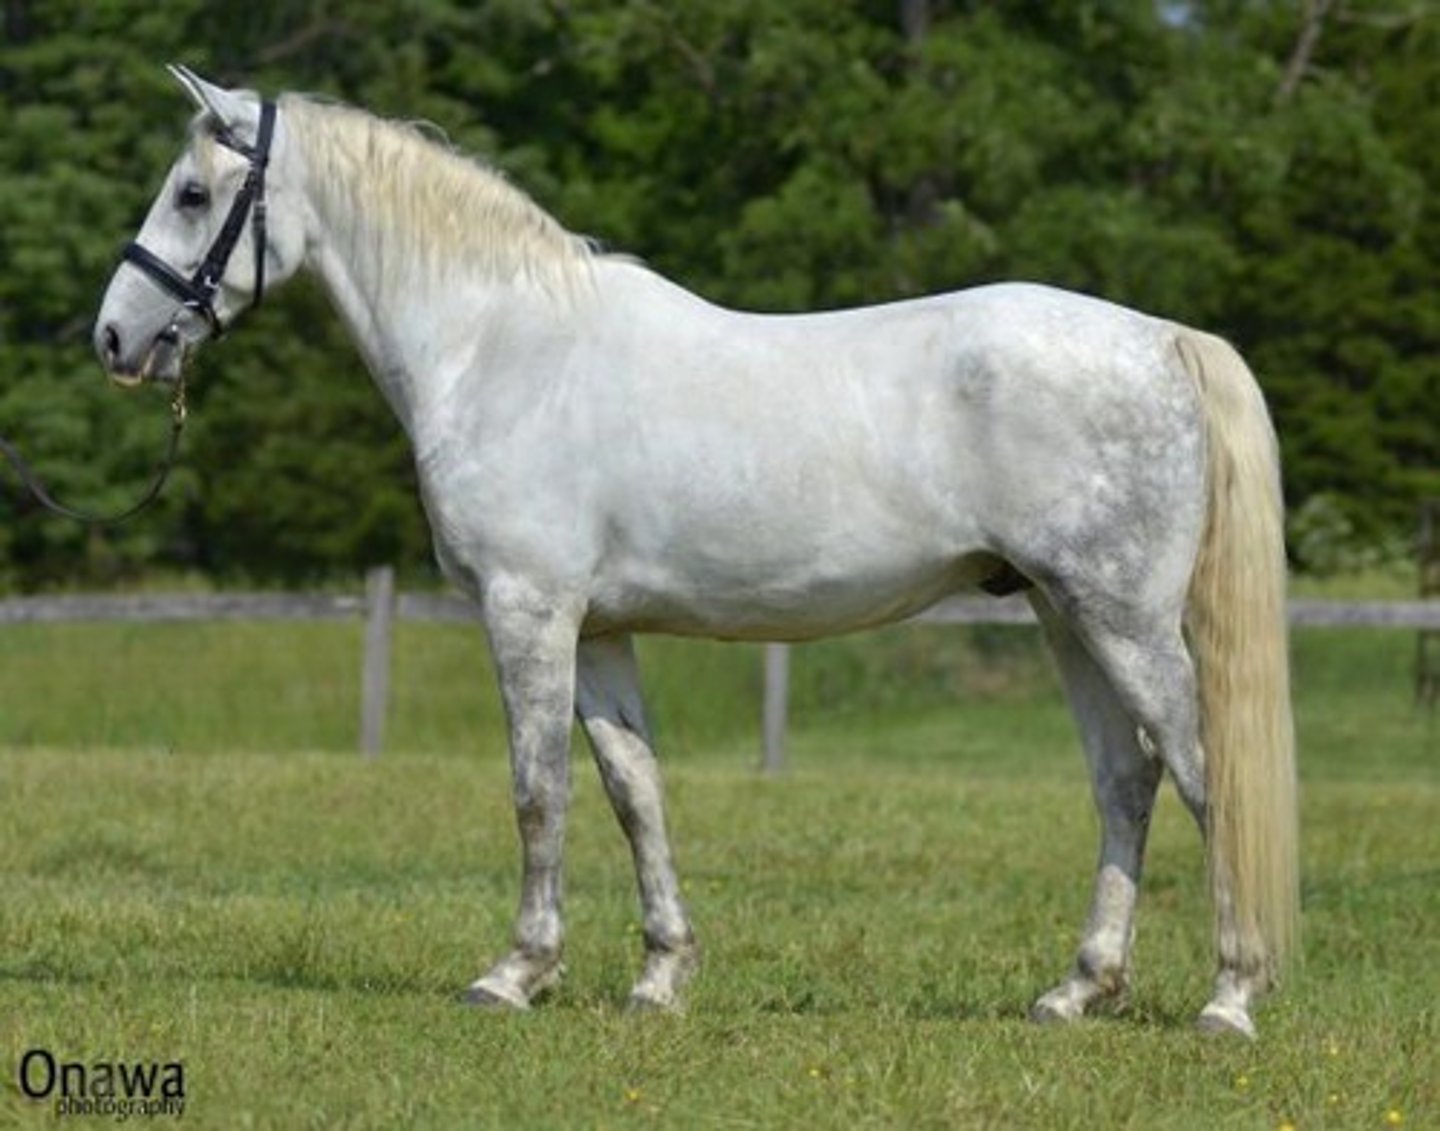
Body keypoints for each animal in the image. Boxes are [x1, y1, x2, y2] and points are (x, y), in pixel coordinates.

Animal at [94, 67, 1298, 1038]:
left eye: (194, 193)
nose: (113, 337)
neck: (498, 348)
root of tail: (1162, 339)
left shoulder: (528, 611)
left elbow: (537, 789)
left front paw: (515, 973)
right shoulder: (597, 630)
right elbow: (634, 790)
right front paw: (659, 978)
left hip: (1122, 619)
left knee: (1206, 777)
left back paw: (1229, 998)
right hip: (1061, 613)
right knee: (1126, 779)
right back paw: (1078, 990)